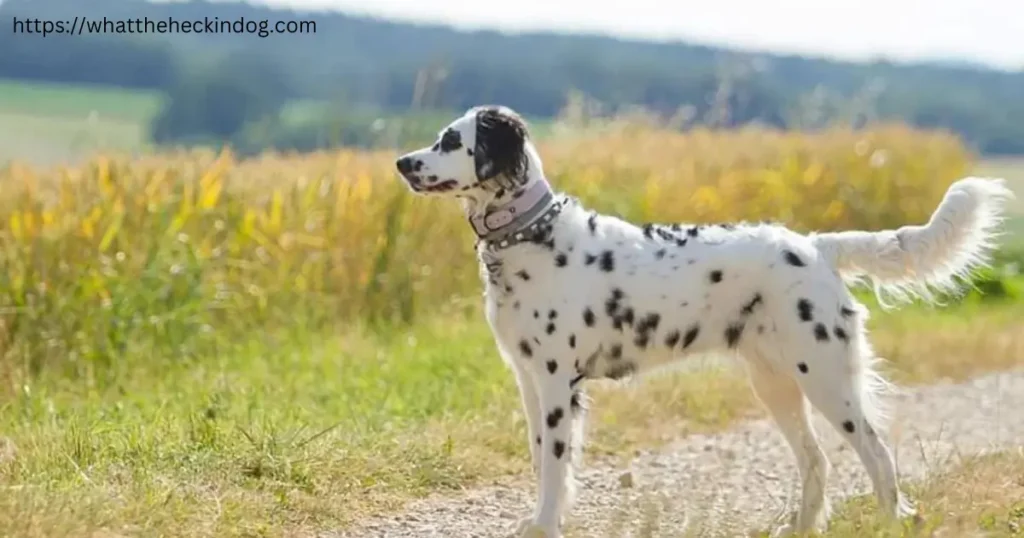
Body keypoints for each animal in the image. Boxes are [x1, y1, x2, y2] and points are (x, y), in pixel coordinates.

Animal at [393, 106, 1015, 536]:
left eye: (451, 141)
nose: (402, 163)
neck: (532, 238)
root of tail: (816, 246)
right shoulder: (528, 379)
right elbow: (542, 458)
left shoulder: (554, 382)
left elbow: (555, 463)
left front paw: (544, 525)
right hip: (775, 383)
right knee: (816, 459)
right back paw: (801, 526)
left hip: (827, 378)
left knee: (876, 450)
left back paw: (891, 520)